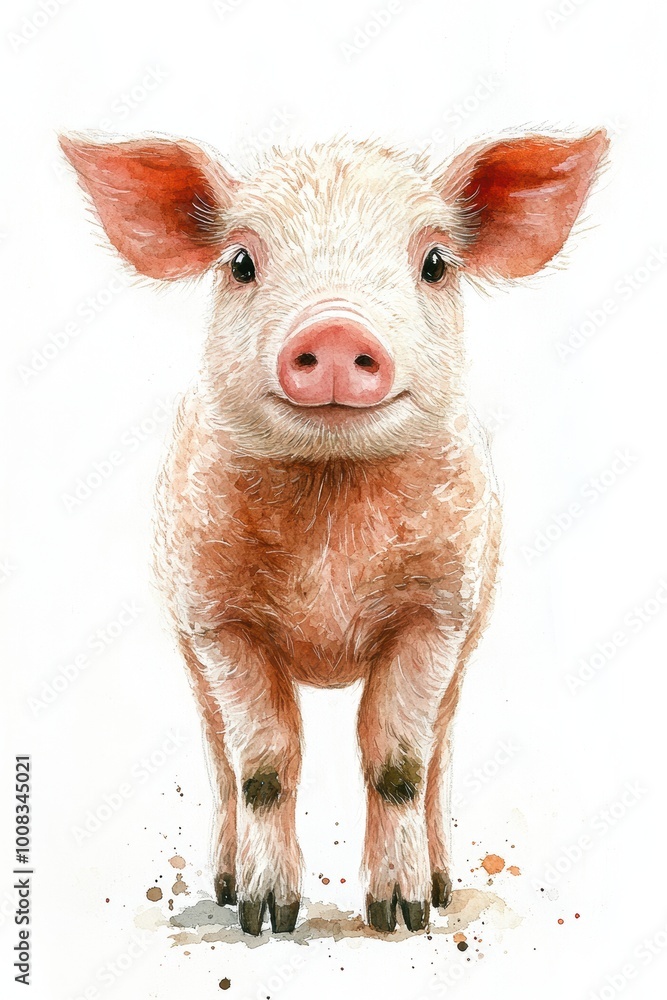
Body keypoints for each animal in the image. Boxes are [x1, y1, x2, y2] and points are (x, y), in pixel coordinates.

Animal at [60, 127, 607, 935]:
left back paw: (440, 888)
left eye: (435, 262)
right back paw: (226, 887)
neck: (332, 522)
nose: (336, 326)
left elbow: (397, 762)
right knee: (219, 758)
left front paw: (399, 918)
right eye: (242, 262)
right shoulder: (217, 618)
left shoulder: (437, 612)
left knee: (437, 754)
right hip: (187, 645)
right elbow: (263, 763)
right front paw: (268, 920)